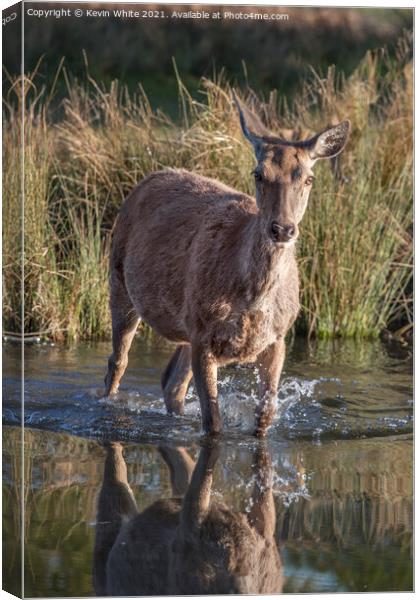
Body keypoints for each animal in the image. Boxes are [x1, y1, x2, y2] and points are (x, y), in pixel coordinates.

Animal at [105, 94, 352, 438]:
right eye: (258, 174)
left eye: (309, 178)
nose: (282, 229)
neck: (252, 298)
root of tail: (147, 179)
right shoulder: (203, 334)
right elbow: (213, 423)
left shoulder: (277, 338)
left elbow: (264, 416)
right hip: (120, 282)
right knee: (117, 364)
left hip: (185, 323)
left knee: (171, 382)